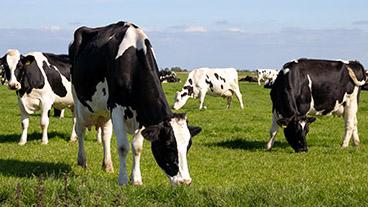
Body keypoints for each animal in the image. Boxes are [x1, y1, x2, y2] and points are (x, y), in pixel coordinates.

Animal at [69, 21, 201, 186]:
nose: (185, 182)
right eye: (169, 146)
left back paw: (107, 165)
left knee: (105, 135)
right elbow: (123, 147)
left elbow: (137, 147)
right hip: (79, 101)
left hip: (104, 111)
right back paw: (82, 161)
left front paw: (136, 179)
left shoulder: (142, 114)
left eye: (188, 146)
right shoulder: (116, 107)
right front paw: (123, 180)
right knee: (80, 129)